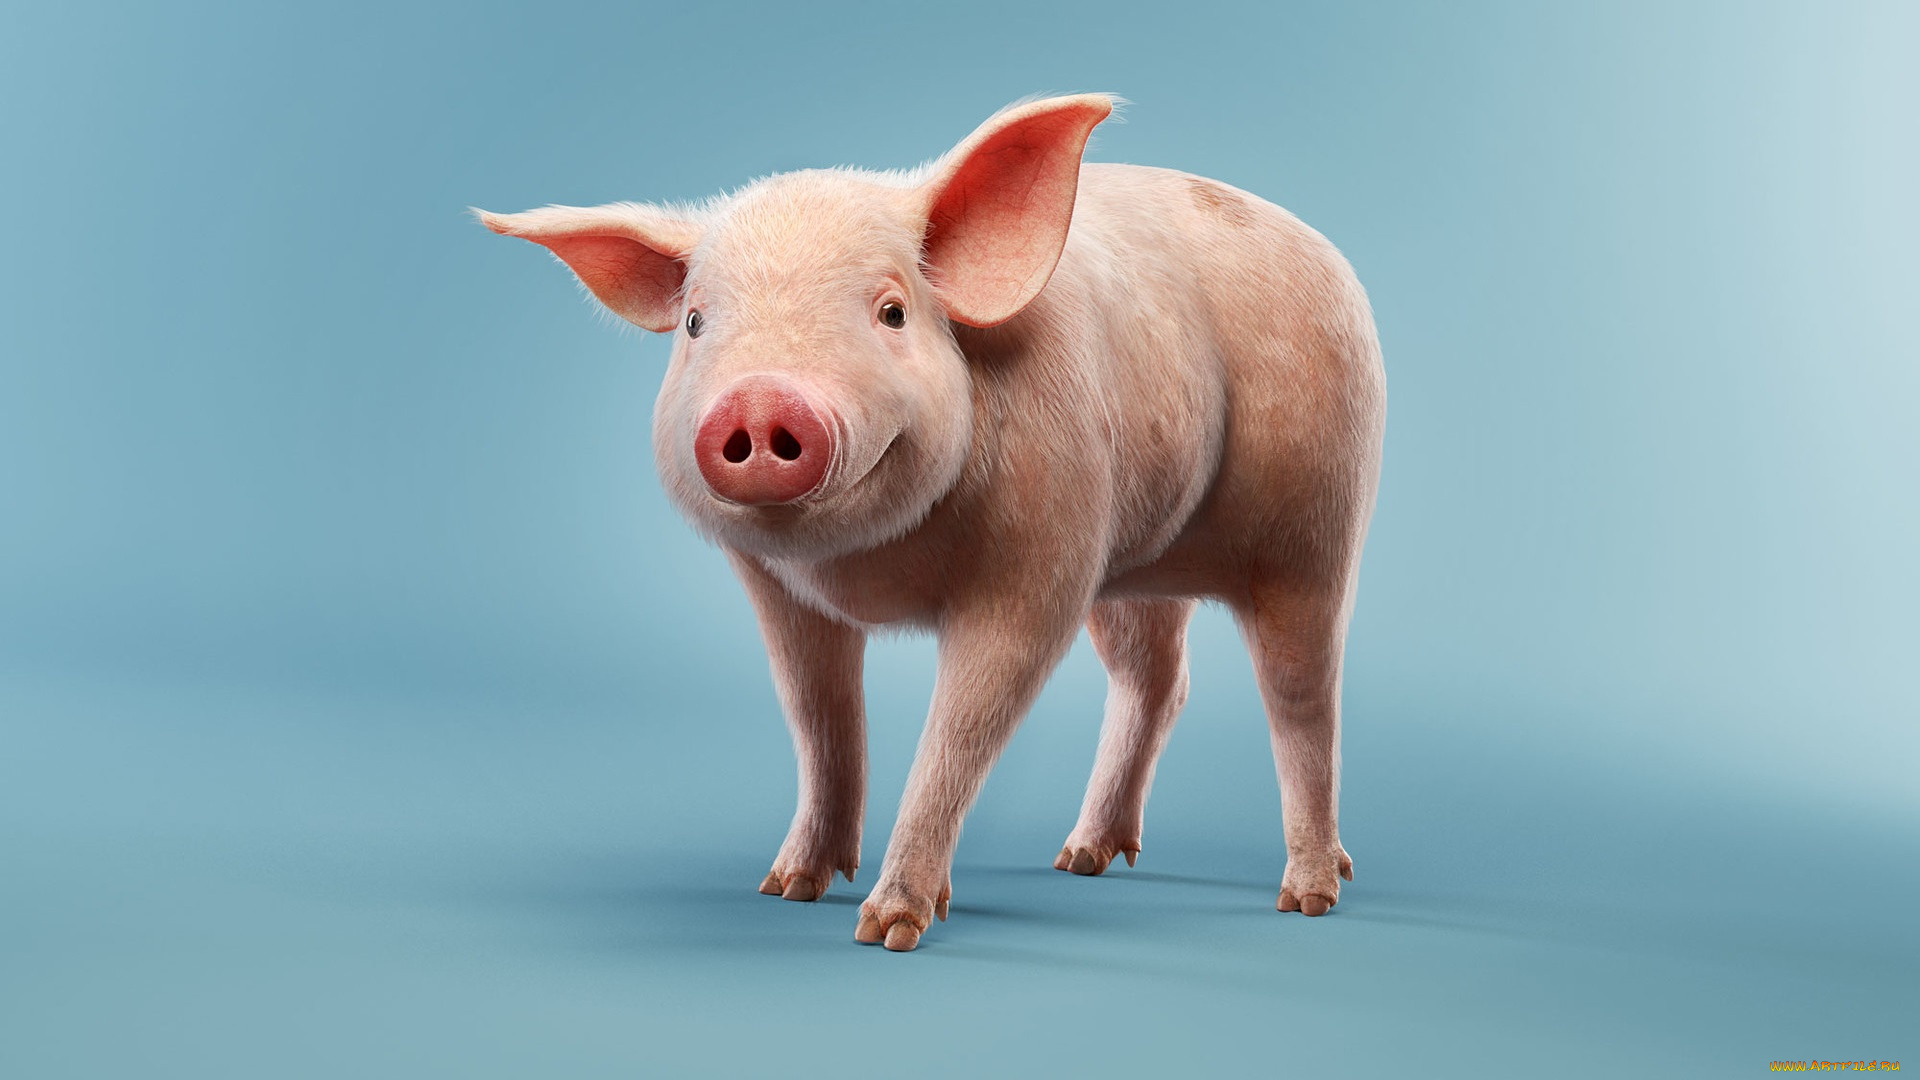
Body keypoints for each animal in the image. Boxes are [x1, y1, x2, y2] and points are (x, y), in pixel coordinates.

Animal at [477, 94, 1384, 952]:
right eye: (698, 323)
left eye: (891, 311)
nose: (762, 398)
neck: (868, 566)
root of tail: (1328, 253)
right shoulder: (776, 586)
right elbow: (819, 715)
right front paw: (787, 888)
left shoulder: (1046, 548)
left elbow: (962, 728)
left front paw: (888, 929)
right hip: (1132, 565)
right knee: (1157, 679)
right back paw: (1081, 859)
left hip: (1318, 511)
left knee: (1303, 691)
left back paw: (1310, 894)